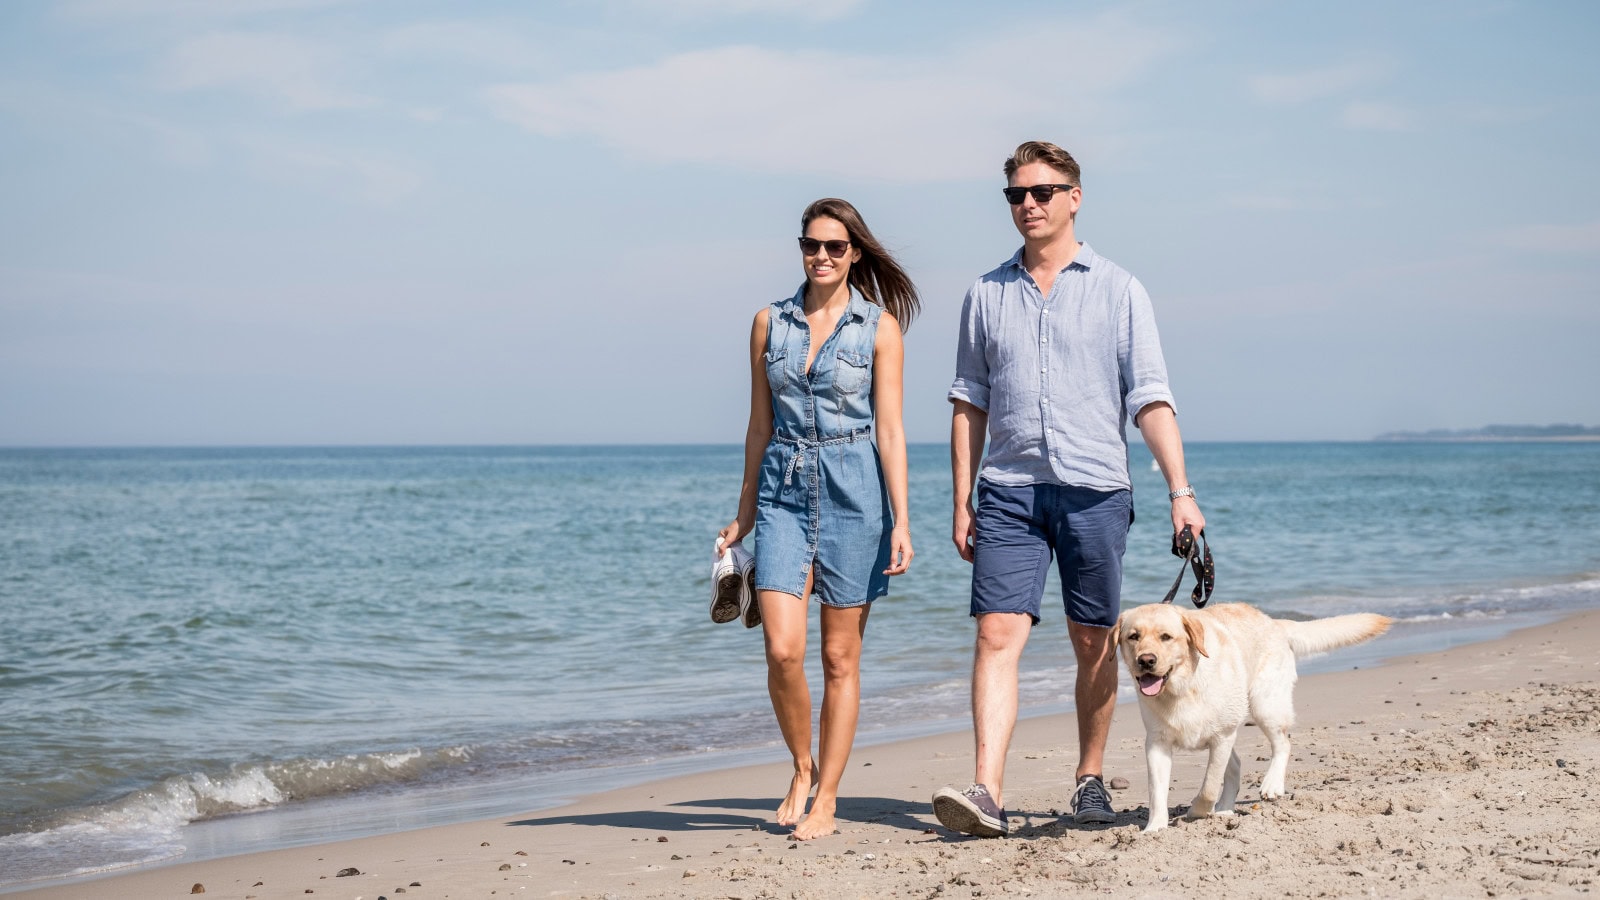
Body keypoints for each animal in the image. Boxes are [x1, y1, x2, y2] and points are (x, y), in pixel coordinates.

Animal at [1113, 598, 1388, 832]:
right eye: (1133, 636)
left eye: (1166, 637)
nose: (1146, 660)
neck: (1183, 688)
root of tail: (1273, 621)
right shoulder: (1157, 743)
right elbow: (1156, 790)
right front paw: (1155, 827)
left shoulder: (1221, 737)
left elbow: (1210, 785)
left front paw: (1196, 811)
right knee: (1236, 764)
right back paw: (1225, 810)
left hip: (1264, 705)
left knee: (1283, 743)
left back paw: (1271, 785)